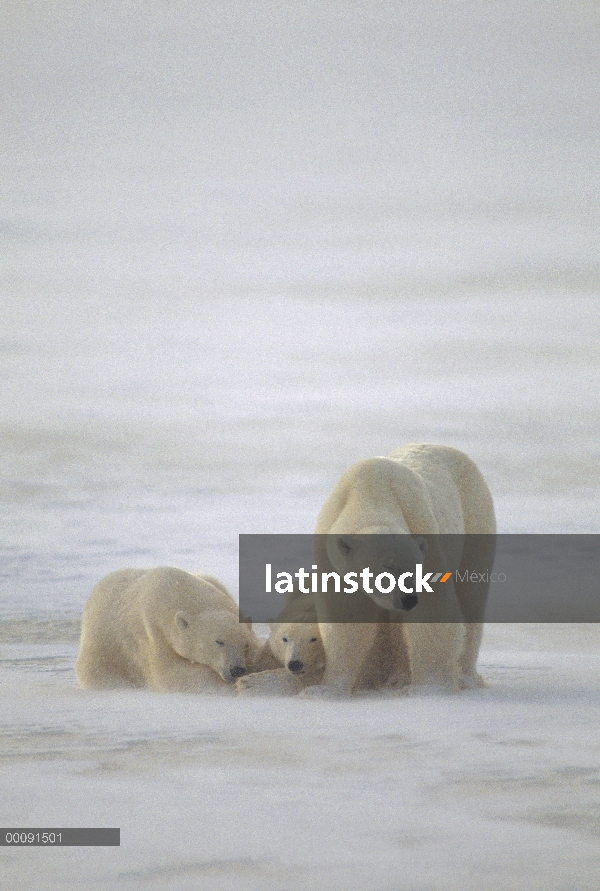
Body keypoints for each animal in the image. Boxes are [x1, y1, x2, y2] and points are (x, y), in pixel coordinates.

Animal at [75, 568, 260, 692]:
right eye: (219, 642)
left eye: (246, 644)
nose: (236, 669)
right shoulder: (151, 632)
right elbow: (170, 674)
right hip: (105, 645)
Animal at [310, 442, 496, 700]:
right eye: (386, 568)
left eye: (414, 569)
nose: (408, 599)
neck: (370, 492)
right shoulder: (333, 558)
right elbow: (346, 616)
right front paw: (327, 689)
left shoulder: (422, 529)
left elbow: (433, 610)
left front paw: (430, 688)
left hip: (474, 517)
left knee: (471, 598)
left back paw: (465, 678)